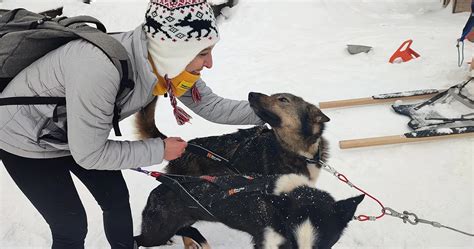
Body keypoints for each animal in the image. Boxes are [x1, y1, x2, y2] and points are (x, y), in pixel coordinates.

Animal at [135, 173, 364, 249]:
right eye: (293, 243)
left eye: (323, 246)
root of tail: (156, 191)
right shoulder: (268, 243)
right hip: (155, 233)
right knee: (139, 239)